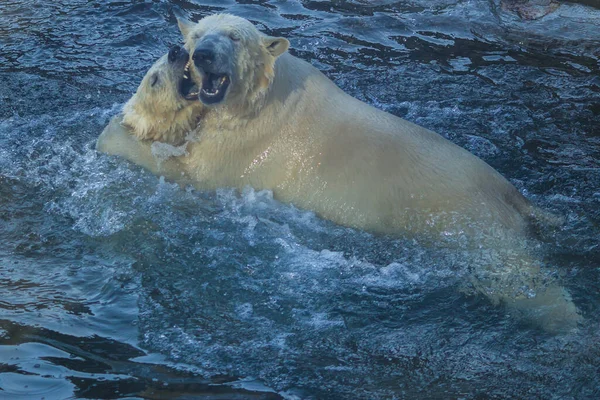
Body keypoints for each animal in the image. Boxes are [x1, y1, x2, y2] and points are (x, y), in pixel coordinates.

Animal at [98, 13, 580, 332]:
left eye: (234, 37)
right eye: (198, 33)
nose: (200, 54)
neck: (260, 97)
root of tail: (512, 193)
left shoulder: (246, 142)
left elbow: (188, 171)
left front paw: (117, 132)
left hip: (468, 223)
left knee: (518, 280)